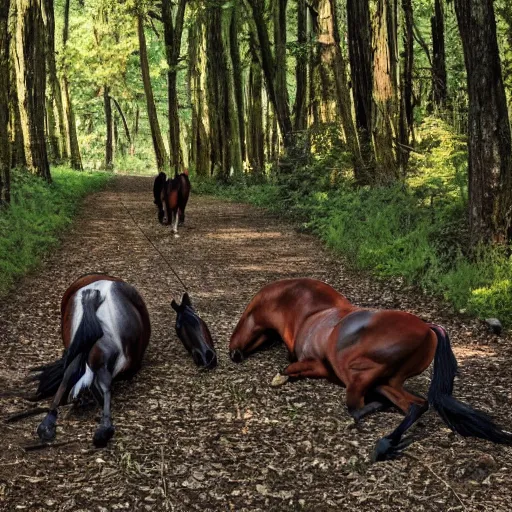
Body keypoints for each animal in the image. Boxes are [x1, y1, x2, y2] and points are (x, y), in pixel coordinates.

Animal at [230, 278, 512, 462]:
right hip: (388, 381)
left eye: (245, 318)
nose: (233, 353)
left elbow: (289, 368)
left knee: (359, 408)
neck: (312, 314)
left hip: (359, 374)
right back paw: (386, 444)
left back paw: (382, 440)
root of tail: (428, 328)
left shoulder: (318, 364)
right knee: (415, 405)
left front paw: (279, 377)